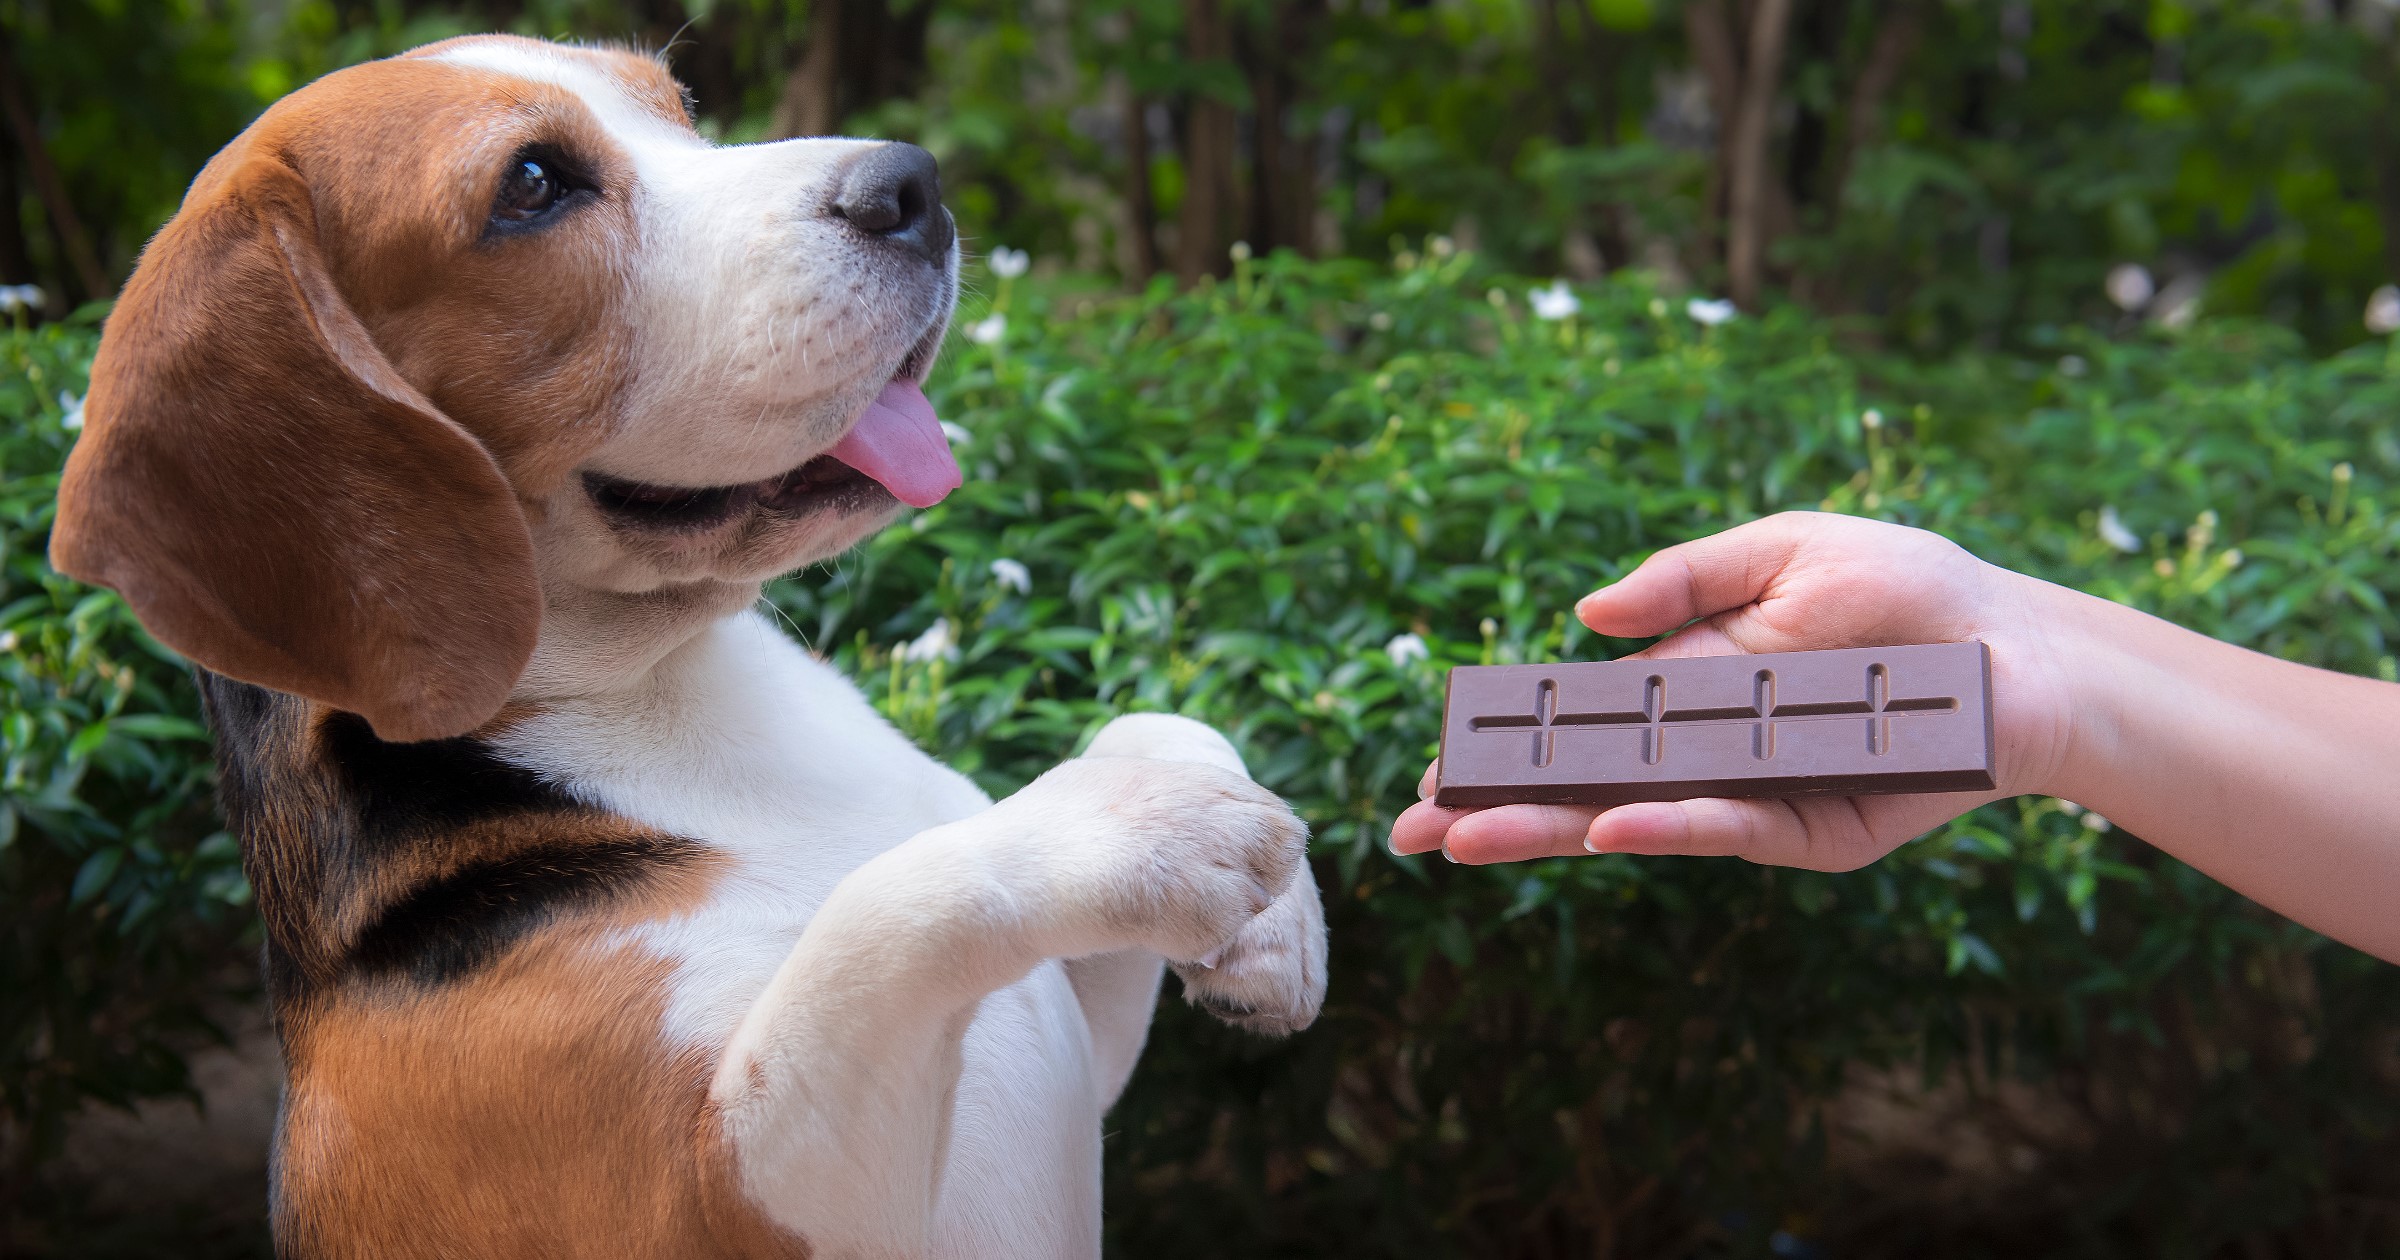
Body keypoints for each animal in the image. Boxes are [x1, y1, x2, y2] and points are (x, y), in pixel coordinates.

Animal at [51, 34, 1334, 1248]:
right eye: (531, 185)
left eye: (681, 111)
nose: (912, 184)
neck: (669, 691)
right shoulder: (723, 1194)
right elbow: (886, 909)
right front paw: (1148, 829)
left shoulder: (1081, 1057)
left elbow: (1154, 717)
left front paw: (1274, 931)